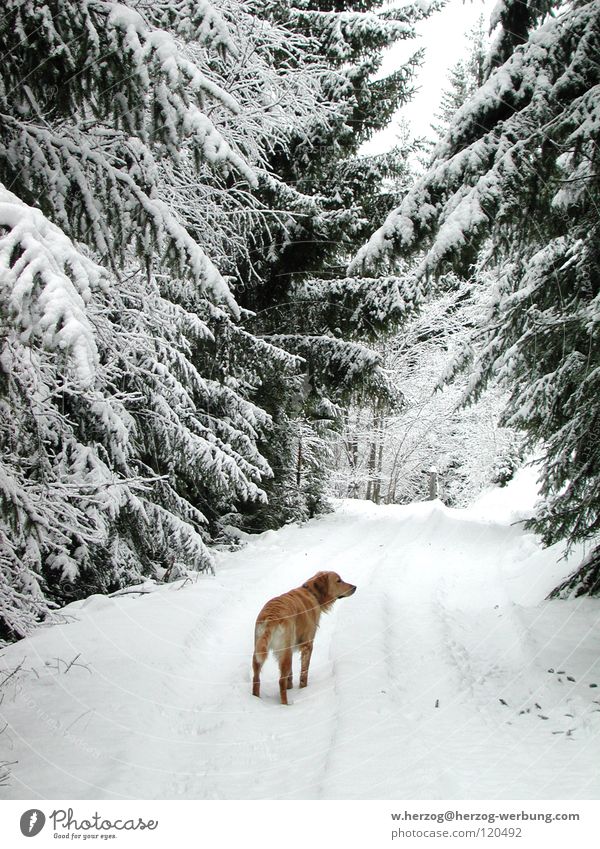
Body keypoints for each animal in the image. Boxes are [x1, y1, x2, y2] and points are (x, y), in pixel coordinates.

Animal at [250, 572, 354, 704]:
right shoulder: (308, 644)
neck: (312, 593)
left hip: (260, 652)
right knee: (280, 681)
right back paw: (285, 704)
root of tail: (271, 617)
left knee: (256, 678)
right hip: (285, 652)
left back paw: (256, 698)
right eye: (338, 580)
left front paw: (290, 686)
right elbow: (304, 672)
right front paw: (303, 688)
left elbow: (291, 674)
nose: (355, 587)